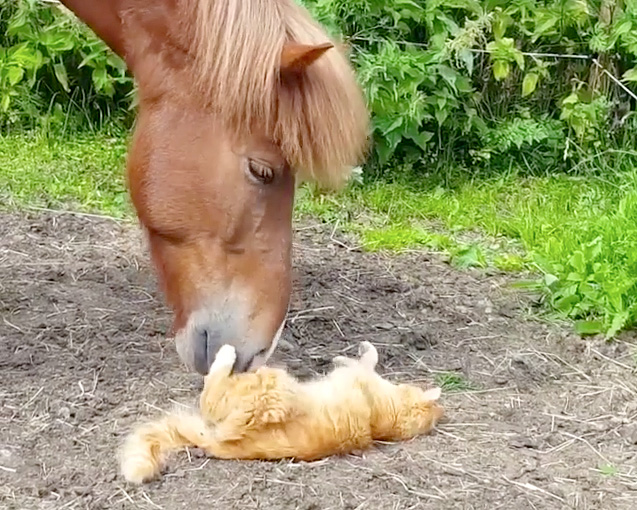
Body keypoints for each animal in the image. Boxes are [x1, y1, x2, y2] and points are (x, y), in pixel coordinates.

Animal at [119, 340, 442, 484]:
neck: (386, 422)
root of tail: (217, 443)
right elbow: (365, 359)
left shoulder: (360, 377)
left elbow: (366, 361)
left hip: (267, 382)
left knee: (210, 390)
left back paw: (226, 353)